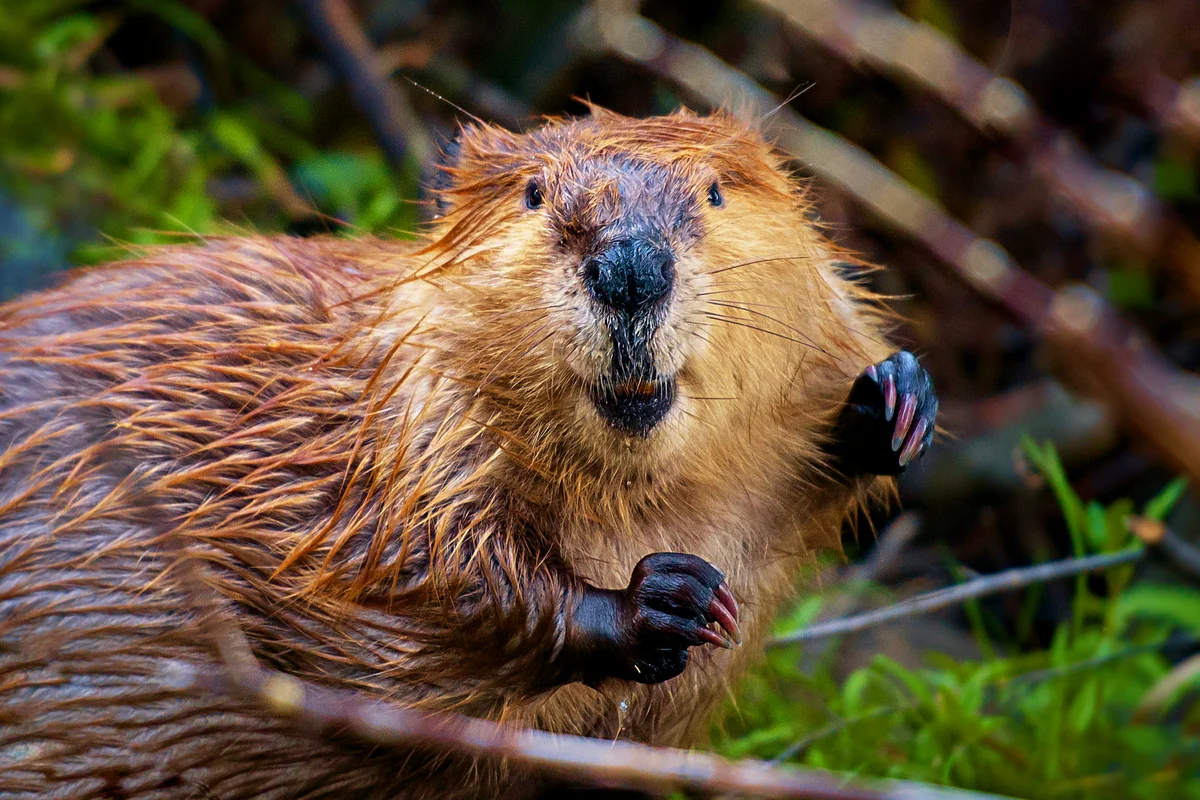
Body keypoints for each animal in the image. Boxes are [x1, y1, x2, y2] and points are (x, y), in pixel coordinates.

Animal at [0, 107, 936, 800]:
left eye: (713, 191)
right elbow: (413, 579)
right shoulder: (404, 427)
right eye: (532, 193)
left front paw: (893, 399)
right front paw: (666, 598)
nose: (630, 266)